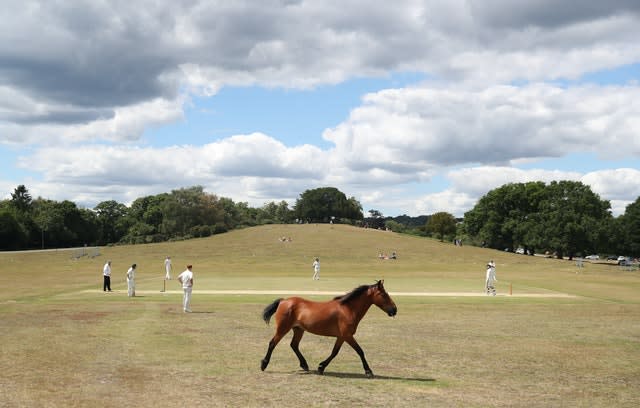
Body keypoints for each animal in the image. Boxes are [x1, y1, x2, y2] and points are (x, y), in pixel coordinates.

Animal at [258, 278, 396, 378]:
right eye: (384, 294)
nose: (394, 310)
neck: (348, 309)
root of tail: (283, 301)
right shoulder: (347, 336)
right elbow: (360, 351)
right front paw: (368, 371)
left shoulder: (341, 337)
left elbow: (334, 352)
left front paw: (321, 367)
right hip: (283, 329)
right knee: (272, 343)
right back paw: (264, 364)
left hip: (298, 329)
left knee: (294, 345)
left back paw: (305, 365)